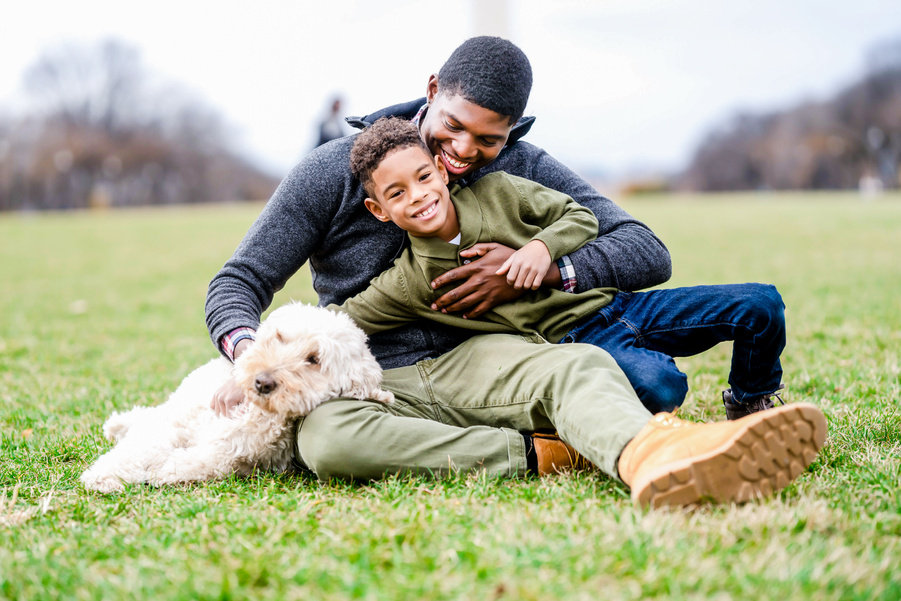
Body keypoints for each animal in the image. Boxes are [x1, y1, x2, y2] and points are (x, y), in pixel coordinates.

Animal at [82, 302, 392, 490]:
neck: (254, 411)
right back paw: (118, 426)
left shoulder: (236, 453)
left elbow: (208, 461)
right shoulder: (176, 425)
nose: (263, 382)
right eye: (280, 337)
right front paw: (103, 476)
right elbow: (140, 449)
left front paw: (167, 470)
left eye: (314, 359)